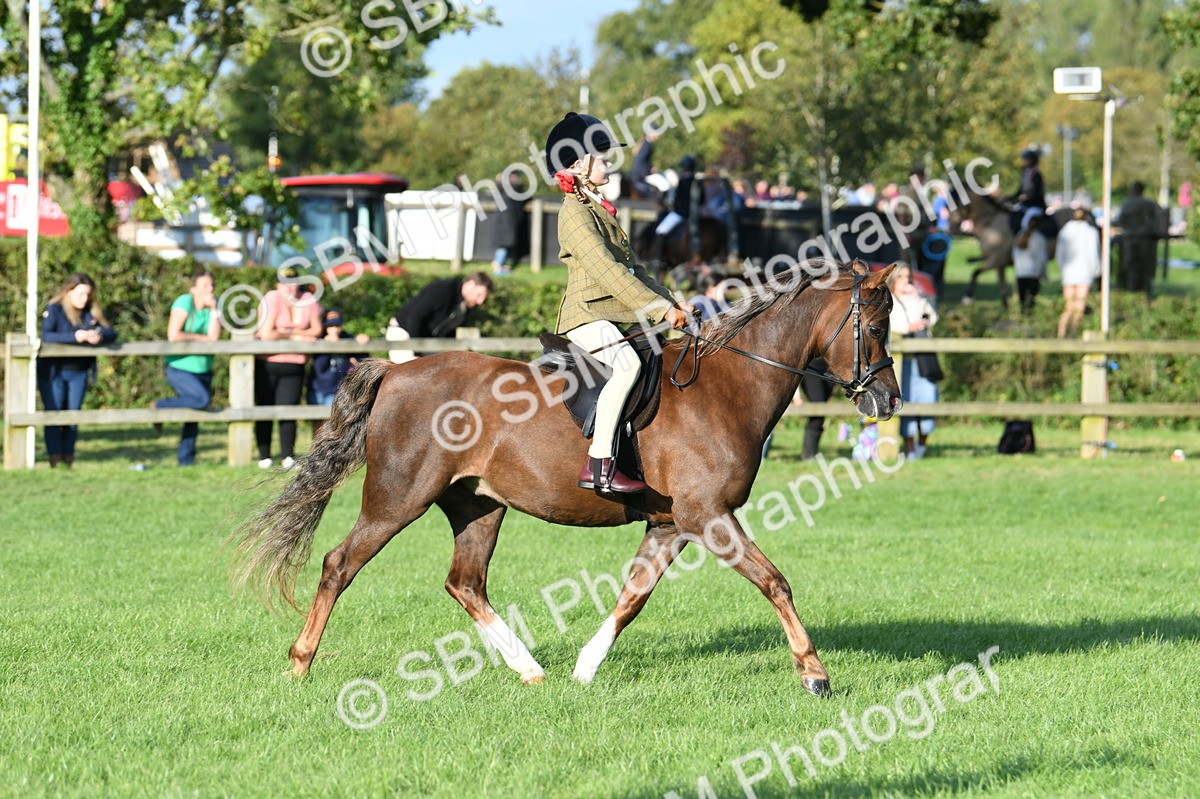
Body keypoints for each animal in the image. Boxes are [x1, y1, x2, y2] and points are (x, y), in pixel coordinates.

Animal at [227, 259, 903, 698]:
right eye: (874, 328)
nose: (889, 401)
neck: (726, 386)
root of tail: (396, 373)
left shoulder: (671, 525)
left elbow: (632, 598)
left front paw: (584, 668)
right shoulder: (708, 517)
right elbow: (775, 582)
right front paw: (814, 673)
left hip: (478, 506)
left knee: (464, 583)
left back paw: (531, 670)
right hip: (396, 501)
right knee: (339, 564)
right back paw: (299, 665)